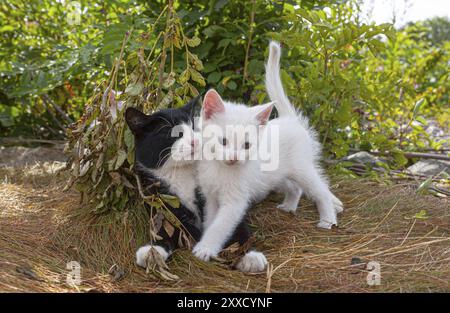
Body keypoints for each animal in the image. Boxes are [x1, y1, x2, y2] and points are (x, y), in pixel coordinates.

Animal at [192, 40, 342, 262]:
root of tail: (290, 119)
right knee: (294, 188)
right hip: (276, 175)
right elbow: (211, 220)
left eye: (247, 145)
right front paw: (208, 240)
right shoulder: (211, 196)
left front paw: (206, 248)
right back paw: (289, 206)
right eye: (223, 141)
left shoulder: (235, 201)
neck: (221, 169)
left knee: (320, 189)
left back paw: (327, 219)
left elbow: (220, 226)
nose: (234, 158)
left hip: (301, 168)